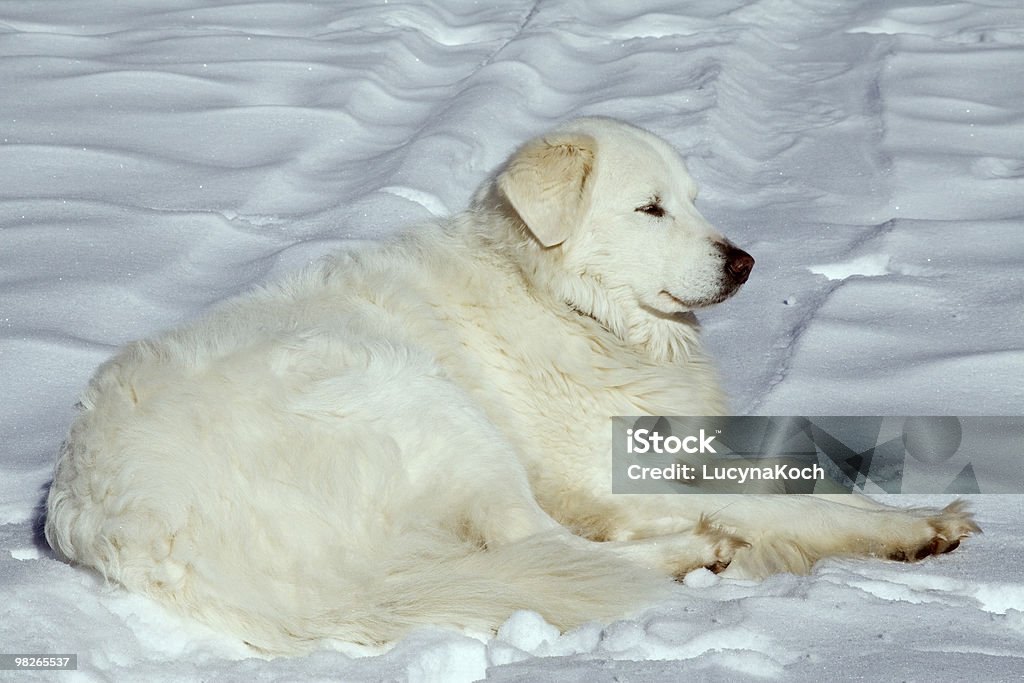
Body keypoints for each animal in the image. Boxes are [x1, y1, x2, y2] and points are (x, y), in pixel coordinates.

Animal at [46, 117, 974, 651]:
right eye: (650, 208)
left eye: (693, 201)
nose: (745, 260)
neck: (563, 299)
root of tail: (117, 518)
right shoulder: (601, 464)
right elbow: (779, 500)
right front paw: (914, 526)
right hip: (422, 400)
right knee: (548, 540)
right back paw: (689, 549)